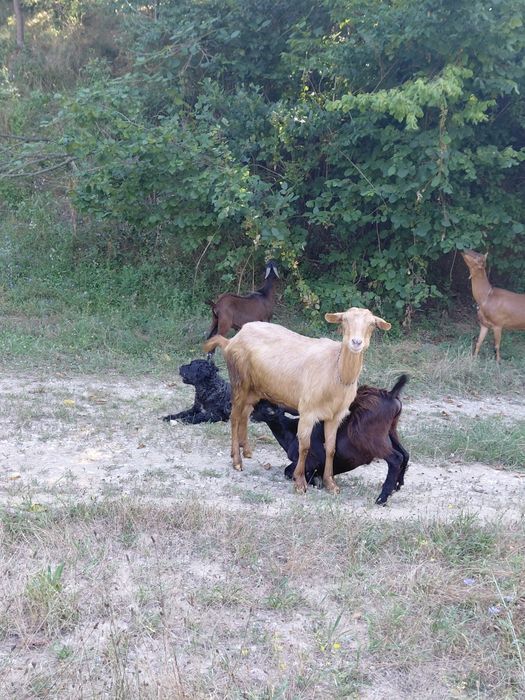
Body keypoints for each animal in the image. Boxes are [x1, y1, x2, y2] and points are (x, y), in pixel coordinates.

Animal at [203, 308, 391, 494]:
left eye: (372, 324)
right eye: (344, 320)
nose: (356, 342)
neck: (335, 371)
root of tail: (232, 340)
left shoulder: (335, 416)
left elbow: (331, 449)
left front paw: (330, 483)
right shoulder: (308, 411)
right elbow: (305, 446)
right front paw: (300, 482)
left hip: (255, 389)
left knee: (245, 414)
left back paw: (246, 450)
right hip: (239, 381)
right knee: (234, 417)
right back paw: (236, 460)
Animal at [251, 375, 409, 505]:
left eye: (266, 409)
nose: (251, 415)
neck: (291, 431)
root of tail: (390, 395)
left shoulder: (311, 460)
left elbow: (290, 471)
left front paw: (314, 481)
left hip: (370, 438)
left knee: (395, 458)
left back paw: (382, 498)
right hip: (391, 431)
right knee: (405, 453)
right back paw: (397, 486)